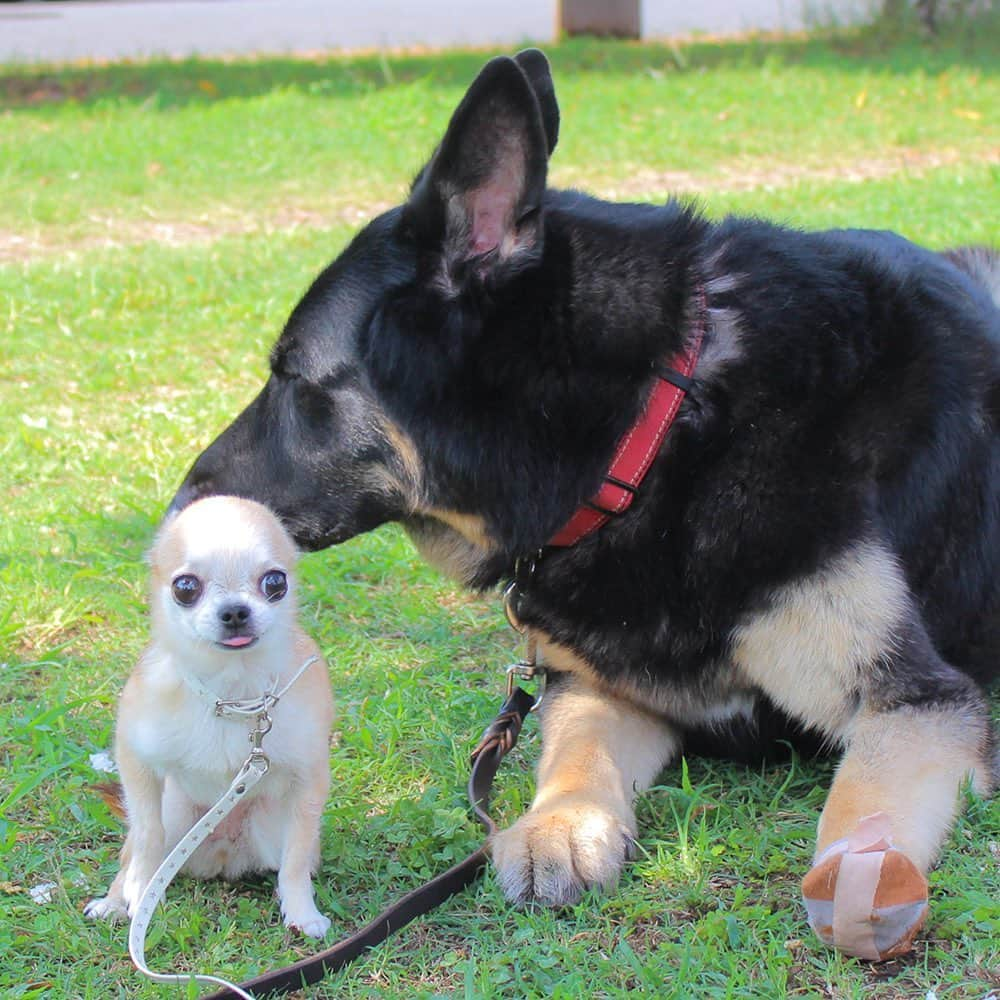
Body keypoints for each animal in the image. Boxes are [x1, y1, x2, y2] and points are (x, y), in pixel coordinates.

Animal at [85, 496, 332, 940]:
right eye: (185, 587)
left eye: (275, 582)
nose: (234, 611)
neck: (230, 691)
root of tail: (223, 850)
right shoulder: (136, 763)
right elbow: (146, 836)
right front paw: (139, 893)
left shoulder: (308, 782)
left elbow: (296, 858)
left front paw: (302, 913)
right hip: (176, 812)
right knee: (133, 848)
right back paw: (114, 901)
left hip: (269, 823)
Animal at [172, 50, 1000, 956]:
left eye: (291, 375)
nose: (182, 502)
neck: (654, 435)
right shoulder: (602, 686)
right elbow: (576, 754)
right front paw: (559, 827)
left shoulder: (918, 702)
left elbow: (863, 804)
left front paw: (863, 871)